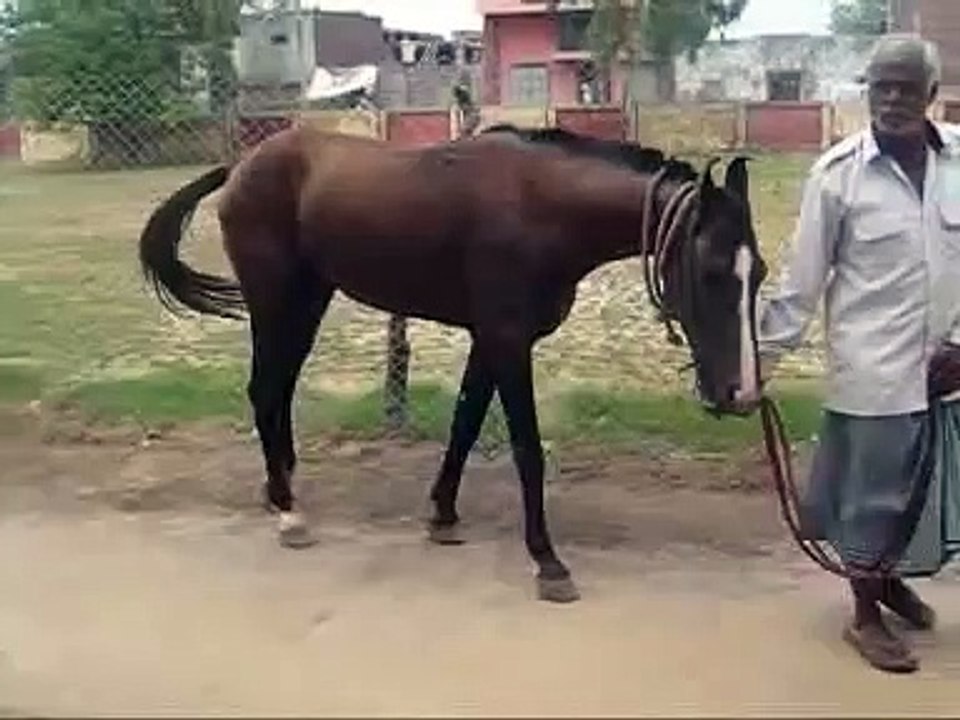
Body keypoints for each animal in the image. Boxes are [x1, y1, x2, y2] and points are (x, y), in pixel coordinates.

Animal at [138, 124, 767, 603]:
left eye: (755, 272)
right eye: (711, 271)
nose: (741, 393)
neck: (539, 205)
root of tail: (242, 165)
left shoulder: (490, 341)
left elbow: (464, 424)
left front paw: (442, 516)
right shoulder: (508, 342)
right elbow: (527, 450)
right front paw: (548, 562)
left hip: (308, 301)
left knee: (279, 390)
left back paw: (280, 490)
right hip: (275, 301)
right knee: (265, 390)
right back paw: (291, 514)